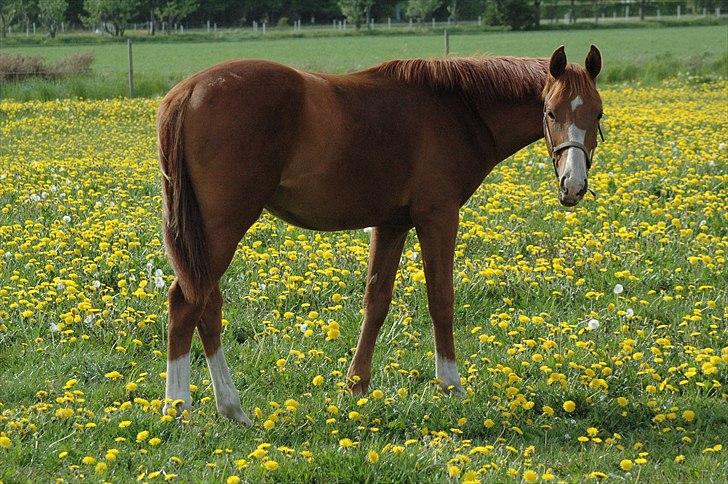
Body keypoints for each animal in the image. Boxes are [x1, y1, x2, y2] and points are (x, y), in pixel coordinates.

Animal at [158, 46, 604, 424]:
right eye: (550, 113)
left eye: (597, 115)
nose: (573, 185)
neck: (456, 109)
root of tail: (189, 90)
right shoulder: (438, 218)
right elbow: (441, 299)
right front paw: (451, 385)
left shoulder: (391, 225)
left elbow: (376, 301)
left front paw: (356, 385)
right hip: (223, 226)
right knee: (186, 303)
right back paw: (179, 407)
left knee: (207, 306)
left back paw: (231, 408)